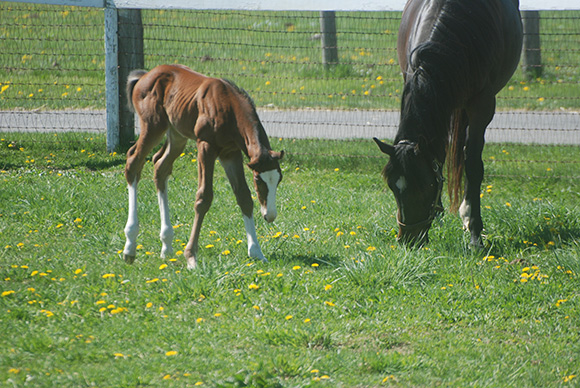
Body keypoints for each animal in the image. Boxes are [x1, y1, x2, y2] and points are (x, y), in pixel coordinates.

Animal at [124, 64, 284, 270]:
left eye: (278, 179)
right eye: (258, 179)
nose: (269, 215)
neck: (228, 106)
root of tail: (144, 76)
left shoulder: (230, 153)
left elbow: (244, 196)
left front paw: (256, 252)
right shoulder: (205, 146)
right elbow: (203, 197)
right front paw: (191, 256)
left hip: (177, 134)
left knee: (160, 165)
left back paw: (166, 246)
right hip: (153, 126)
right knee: (133, 162)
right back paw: (130, 246)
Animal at [374, 0, 524, 246]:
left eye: (425, 186)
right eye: (392, 186)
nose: (409, 240)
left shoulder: (482, 104)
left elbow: (473, 165)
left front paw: (475, 233)